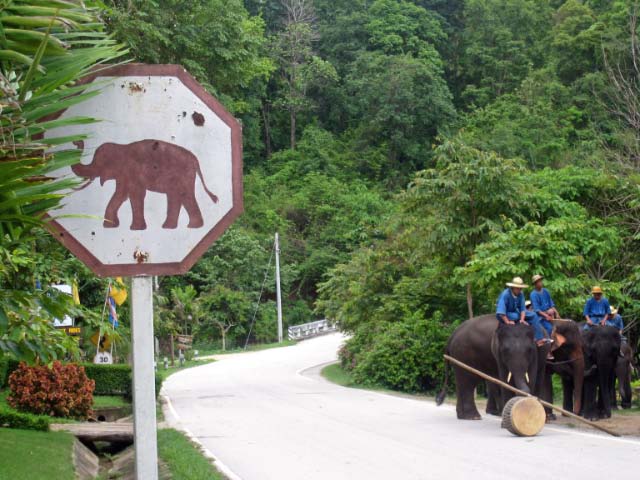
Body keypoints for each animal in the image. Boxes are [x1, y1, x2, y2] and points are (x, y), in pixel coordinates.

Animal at [71, 139, 218, 230]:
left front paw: (135, 229)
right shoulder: (124, 175)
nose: (76, 142)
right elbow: (121, 195)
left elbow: (133, 194)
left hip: (185, 176)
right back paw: (174, 227)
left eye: (100, 163)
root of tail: (196, 160)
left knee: (184, 195)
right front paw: (111, 226)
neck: (121, 147)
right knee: (178, 196)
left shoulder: (132, 173)